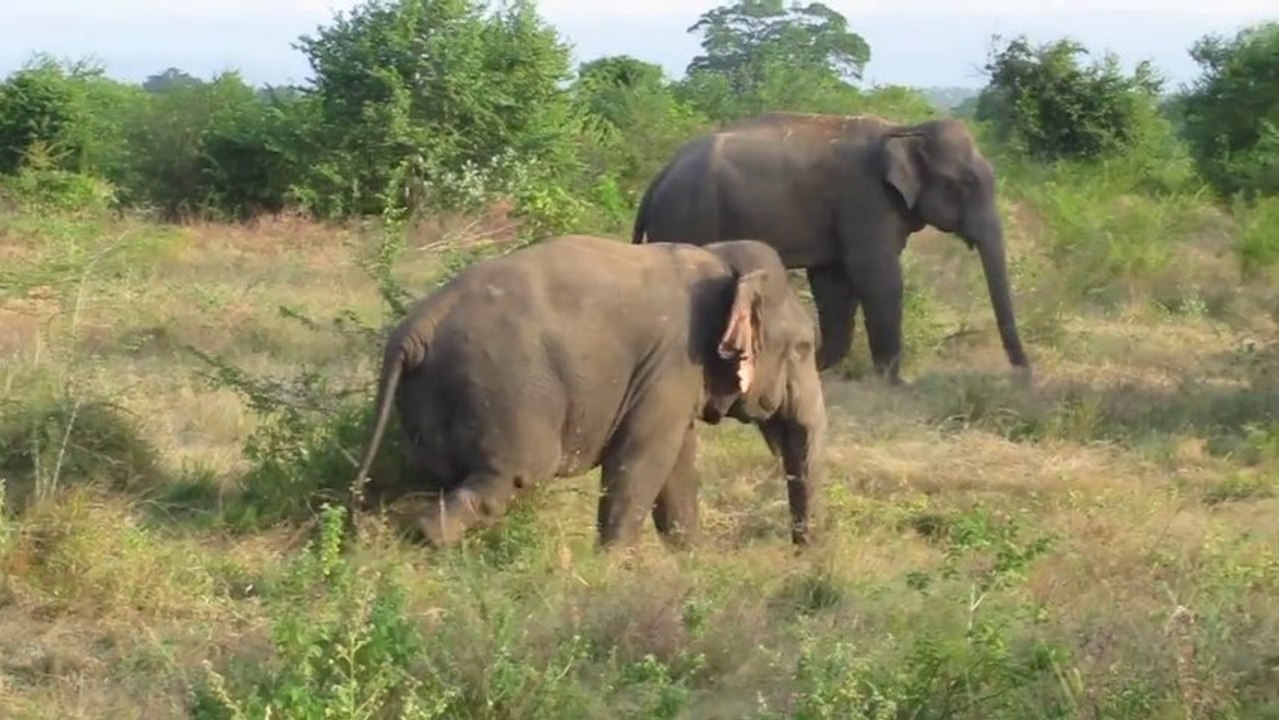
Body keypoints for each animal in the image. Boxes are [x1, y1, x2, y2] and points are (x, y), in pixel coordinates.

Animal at [350, 233, 826, 550]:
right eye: (804, 348)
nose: (801, 551)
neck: (718, 258)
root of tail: (414, 330)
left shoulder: (673, 378)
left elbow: (677, 467)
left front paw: (687, 559)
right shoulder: (671, 364)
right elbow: (642, 459)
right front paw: (614, 564)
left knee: (431, 477)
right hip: (503, 390)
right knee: (513, 474)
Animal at [631, 111, 1030, 385]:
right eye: (966, 183)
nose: (1024, 375)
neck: (903, 129)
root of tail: (660, 175)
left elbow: (834, 283)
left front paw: (820, 369)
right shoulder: (866, 200)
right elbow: (878, 276)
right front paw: (895, 383)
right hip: (688, 214)